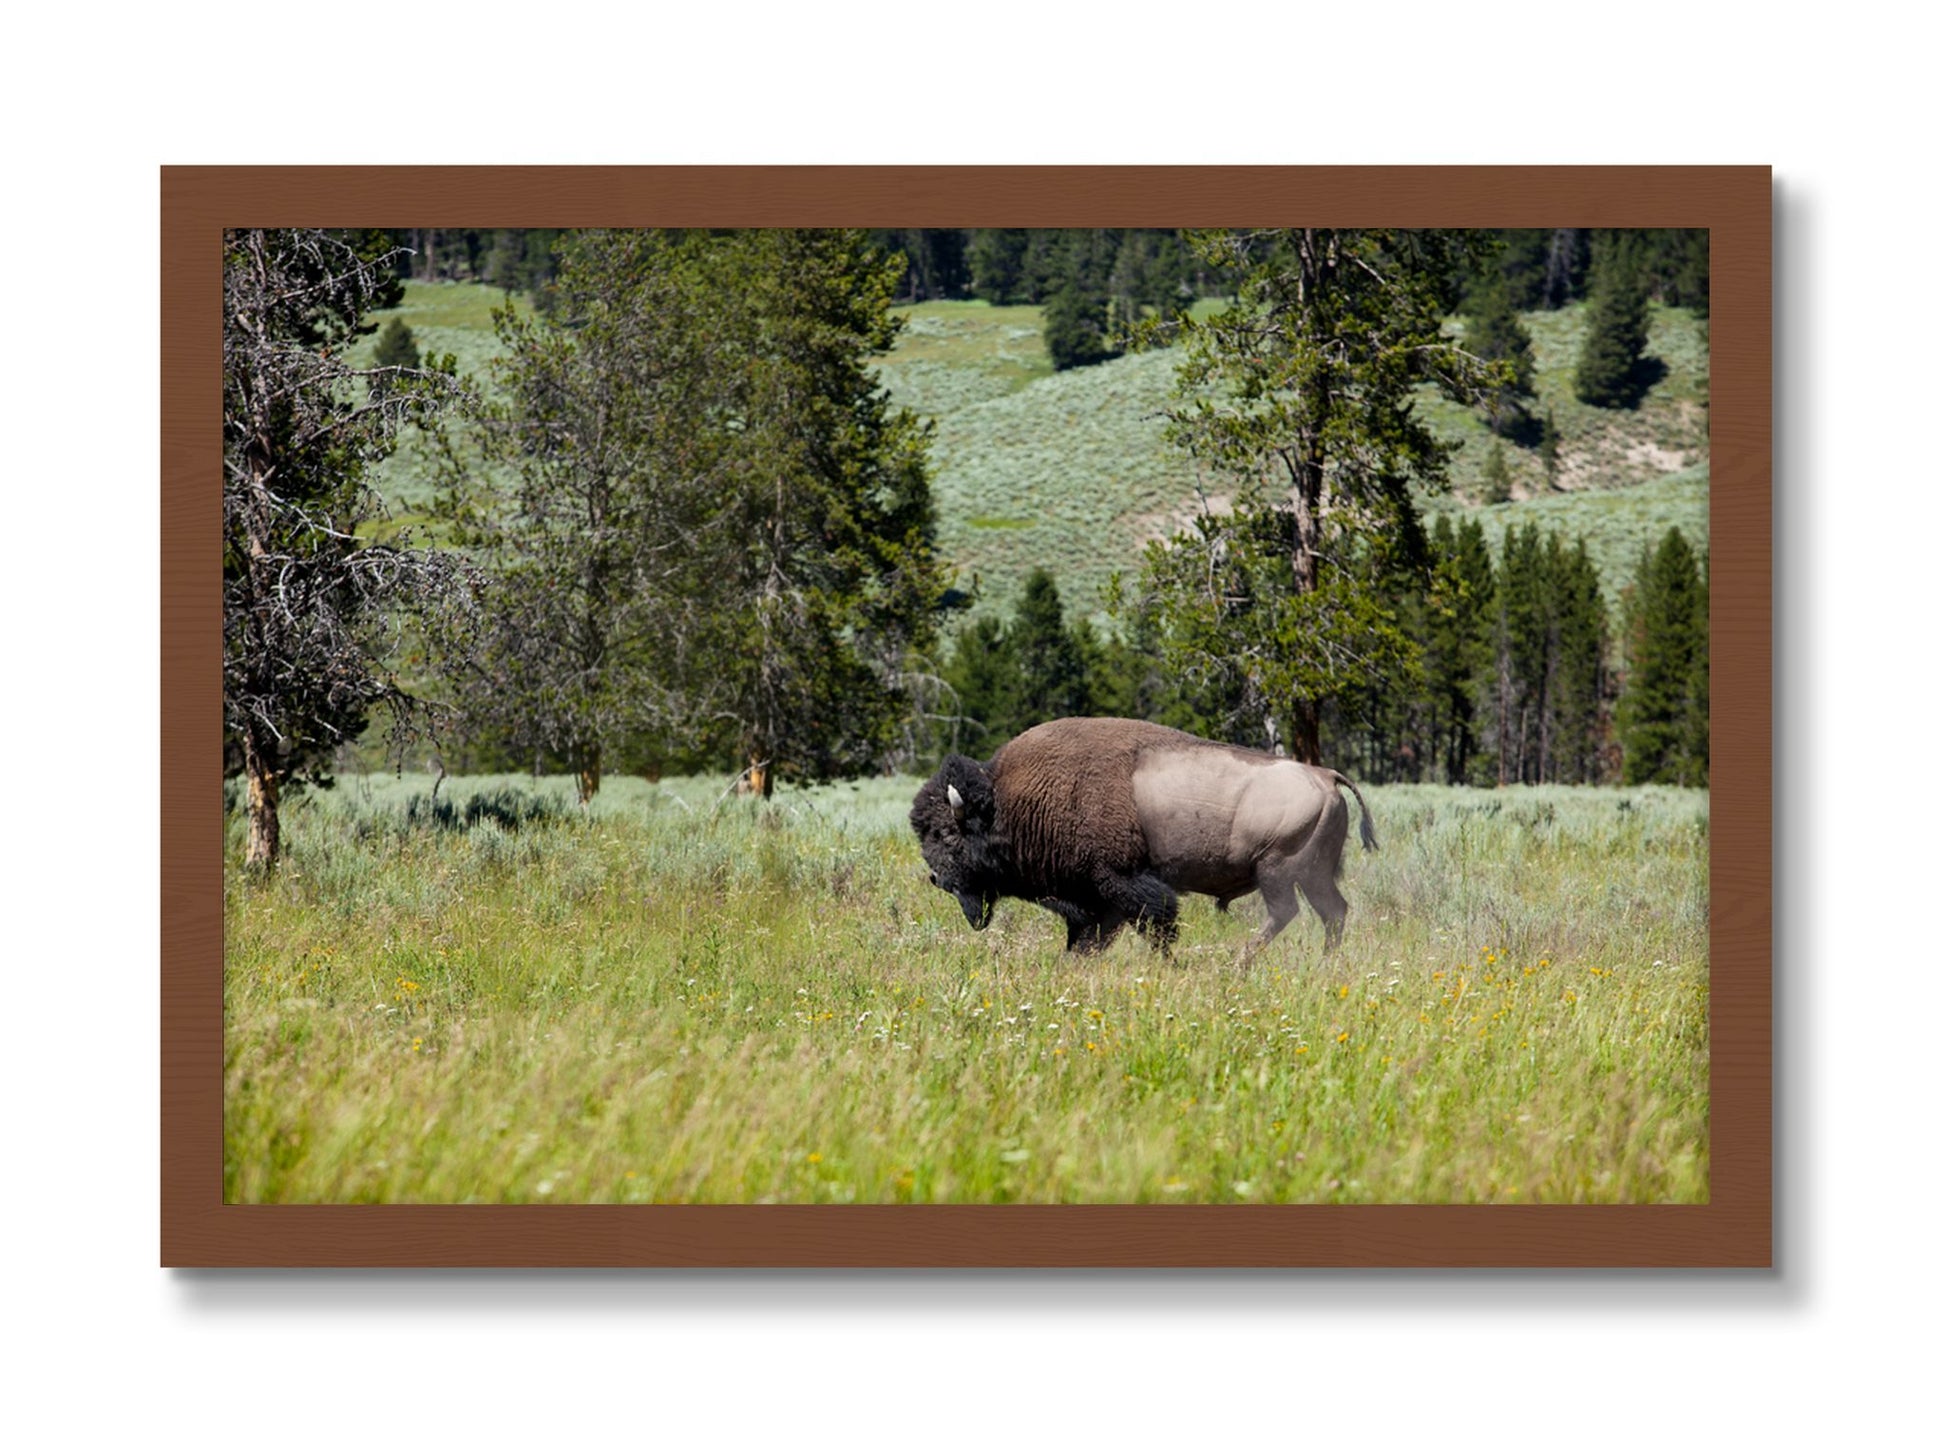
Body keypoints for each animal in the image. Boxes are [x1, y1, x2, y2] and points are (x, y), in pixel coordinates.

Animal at [909, 717, 1377, 957]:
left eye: (947, 835)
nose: (936, 878)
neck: (1009, 801)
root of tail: (1325, 775)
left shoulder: (1122, 884)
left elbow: (1156, 926)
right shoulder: (1095, 901)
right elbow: (1088, 940)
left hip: (1277, 870)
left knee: (1286, 913)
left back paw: (1239, 963)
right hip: (1313, 875)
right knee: (1333, 912)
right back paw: (1324, 962)